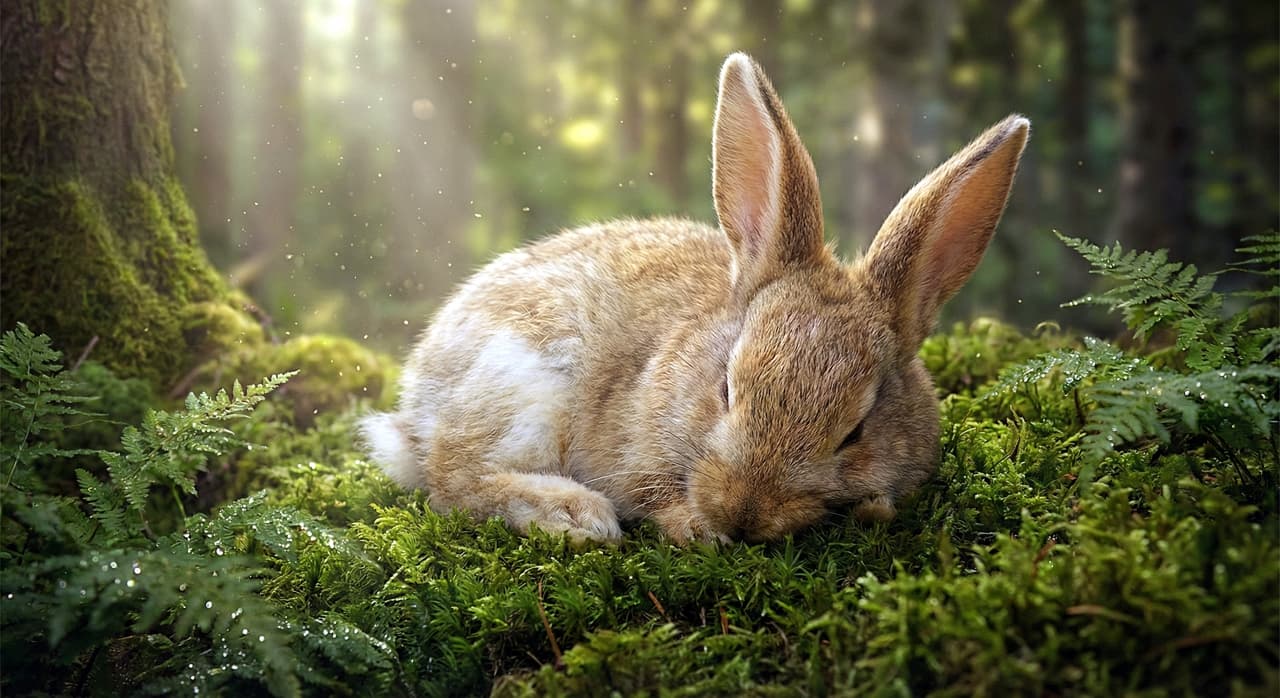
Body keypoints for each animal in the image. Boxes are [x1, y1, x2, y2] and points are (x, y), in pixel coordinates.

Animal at [360, 52, 1029, 544]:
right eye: (726, 390)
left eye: (856, 432)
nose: (744, 514)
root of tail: (416, 409)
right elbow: (653, 495)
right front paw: (697, 529)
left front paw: (872, 510)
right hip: (522, 385)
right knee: (455, 478)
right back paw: (576, 516)